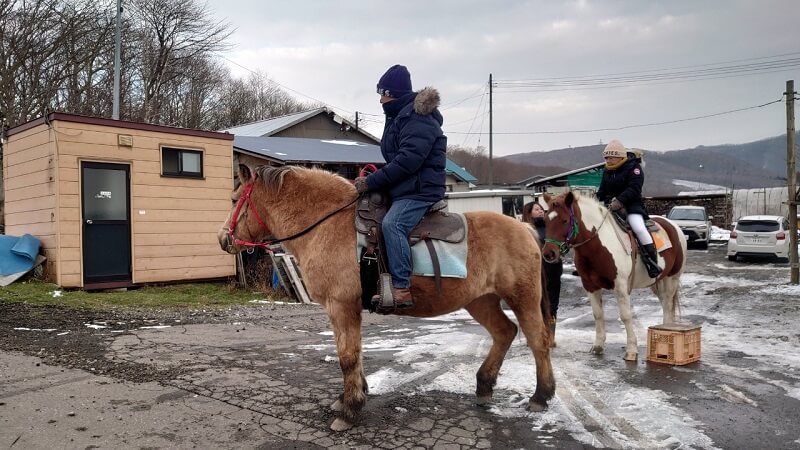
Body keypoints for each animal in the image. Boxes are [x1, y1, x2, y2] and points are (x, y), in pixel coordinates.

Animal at [219, 163, 556, 430]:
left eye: (235, 200)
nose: (223, 239)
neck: (328, 223)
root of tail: (526, 230)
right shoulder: (341, 309)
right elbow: (353, 353)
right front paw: (349, 398)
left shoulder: (342, 305)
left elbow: (347, 356)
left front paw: (350, 410)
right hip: (480, 300)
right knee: (505, 332)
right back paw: (484, 385)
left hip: (522, 298)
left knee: (537, 340)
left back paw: (541, 396)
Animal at [544, 192, 688, 360]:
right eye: (545, 220)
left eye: (565, 220)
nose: (549, 253)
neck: (597, 246)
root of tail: (673, 225)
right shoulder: (590, 286)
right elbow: (598, 314)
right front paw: (598, 346)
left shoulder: (620, 286)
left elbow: (625, 316)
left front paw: (631, 349)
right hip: (657, 281)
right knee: (665, 303)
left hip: (672, 277)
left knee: (668, 303)